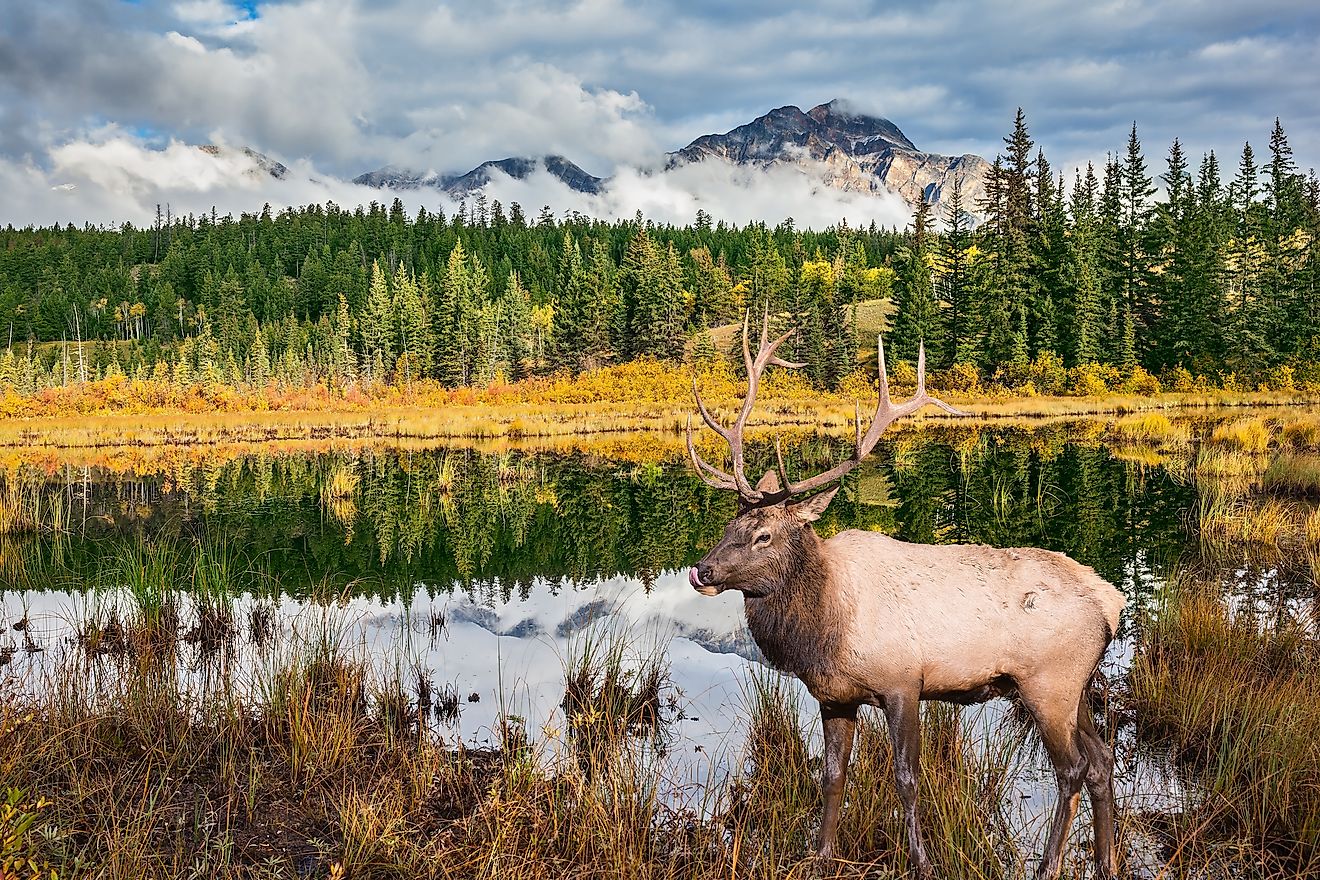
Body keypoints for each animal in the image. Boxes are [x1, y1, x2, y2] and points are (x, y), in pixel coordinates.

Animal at [686, 315, 1119, 880]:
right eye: (728, 525)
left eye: (763, 535)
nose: (702, 570)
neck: (824, 629)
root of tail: (1110, 602)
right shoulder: (834, 696)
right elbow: (833, 776)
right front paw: (820, 853)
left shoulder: (903, 682)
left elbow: (907, 779)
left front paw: (921, 860)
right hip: (1078, 687)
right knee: (1103, 759)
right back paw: (1107, 860)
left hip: (1049, 682)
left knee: (1073, 769)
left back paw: (1048, 866)